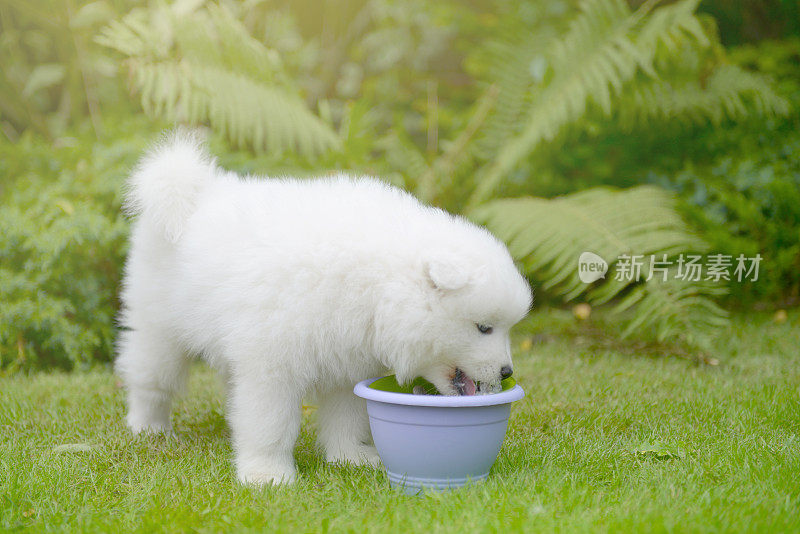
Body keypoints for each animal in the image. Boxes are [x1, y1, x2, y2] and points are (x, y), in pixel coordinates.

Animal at [115, 131, 532, 486]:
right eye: (484, 328)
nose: (507, 371)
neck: (375, 283)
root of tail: (198, 189)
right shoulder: (272, 363)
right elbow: (269, 422)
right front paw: (267, 475)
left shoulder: (347, 358)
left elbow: (345, 417)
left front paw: (350, 458)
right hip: (158, 324)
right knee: (150, 378)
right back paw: (148, 427)